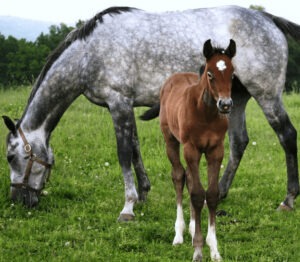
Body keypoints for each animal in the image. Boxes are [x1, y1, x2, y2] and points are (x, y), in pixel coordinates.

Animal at [2, 5, 300, 221]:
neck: (90, 54)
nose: (18, 201)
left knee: (287, 136)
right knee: (239, 142)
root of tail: (268, 18)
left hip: (266, 95)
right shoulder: (124, 105)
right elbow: (134, 149)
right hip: (235, 99)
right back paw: (221, 193)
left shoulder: (119, 102)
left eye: (11, 157)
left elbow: (123, 153)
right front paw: (143, 194)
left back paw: (287, 200)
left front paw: (128, 207)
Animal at [142, 39, 236, 262]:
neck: (206, 114)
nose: (225, 104)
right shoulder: (191, 148)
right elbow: (196, 194)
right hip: (171, 141)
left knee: (191, 180)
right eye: (210, 74)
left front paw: (214, 249)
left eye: (232, 73)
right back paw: (179, 234)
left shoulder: (216, 150)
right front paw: (198, 250)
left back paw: (193, 229)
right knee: (179, 176)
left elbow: (211, 194)